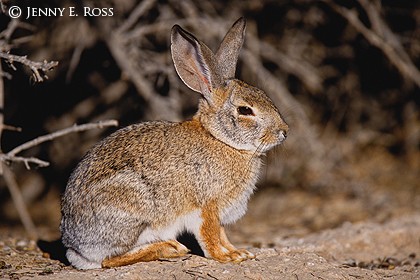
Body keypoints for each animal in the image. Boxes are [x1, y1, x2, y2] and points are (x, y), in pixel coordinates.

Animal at [60, 17, 288, 270]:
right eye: (245, 110)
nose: (283, 132)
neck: (220, 139)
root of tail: (75, 247)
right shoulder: (207, 206)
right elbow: (210, 236)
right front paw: (226, 257)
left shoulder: (219, 212)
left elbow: (222, 234)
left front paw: (238, 252)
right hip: (132, 210)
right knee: (109, 260)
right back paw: (169, 248)